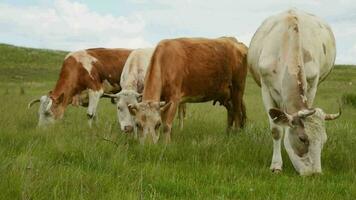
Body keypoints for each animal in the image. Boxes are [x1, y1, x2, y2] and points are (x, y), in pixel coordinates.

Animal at [248, 9, 342, 175]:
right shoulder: (266, 89)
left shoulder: (312, 85)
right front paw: (276, 165)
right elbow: (276, 130)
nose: (315, 174)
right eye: (302, 139)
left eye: (323, 141)